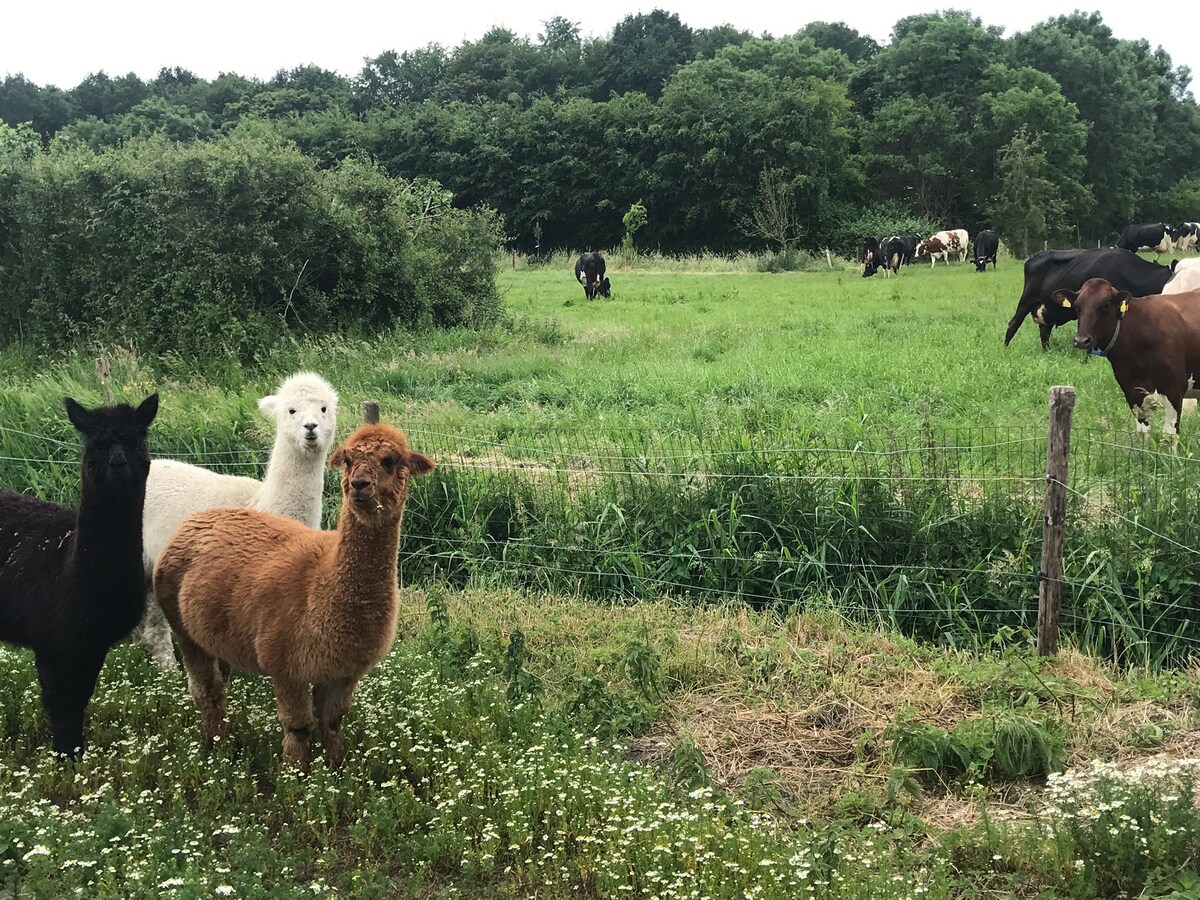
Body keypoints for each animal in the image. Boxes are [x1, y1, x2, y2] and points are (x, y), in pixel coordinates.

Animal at [1056, 280, 1200, 439]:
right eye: (1077, 307)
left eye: (1105, 305)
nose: (1081, 340)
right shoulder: (1132, 394)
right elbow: (1143, 435)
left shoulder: (1174, 392)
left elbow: (1169, 436)